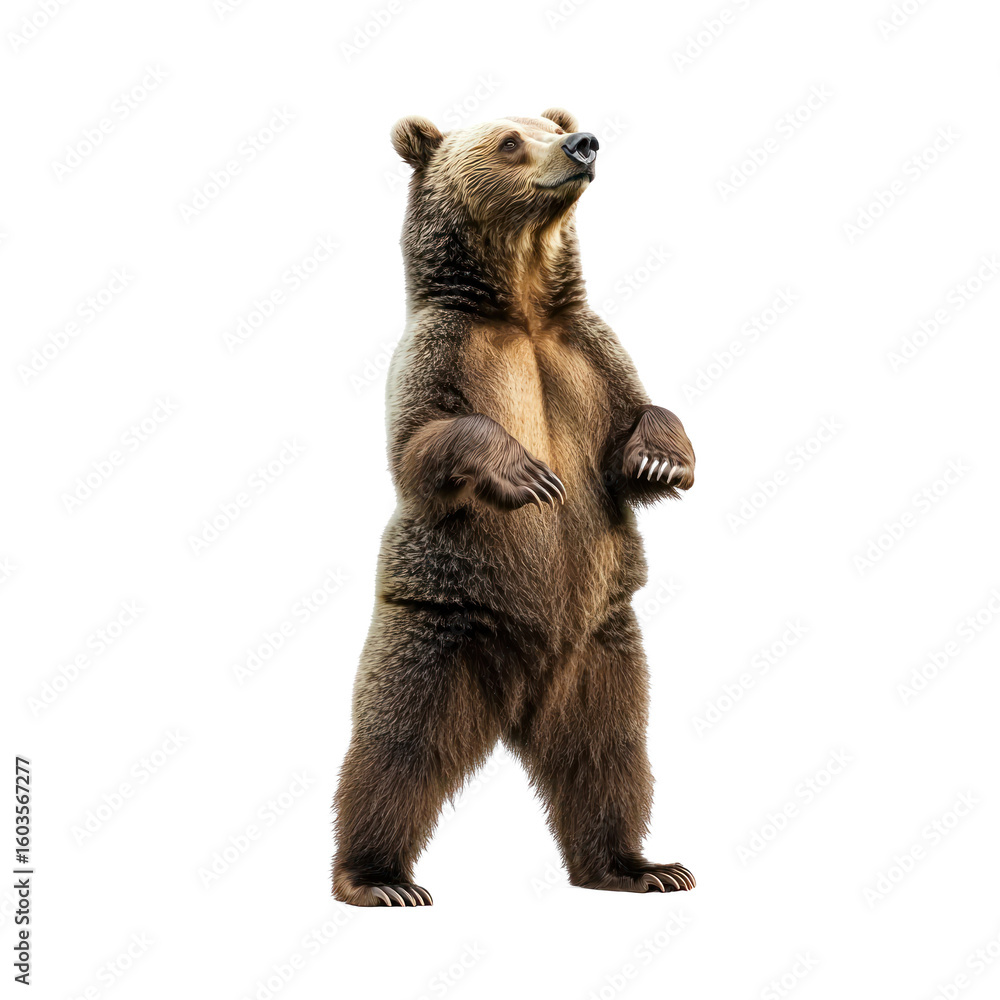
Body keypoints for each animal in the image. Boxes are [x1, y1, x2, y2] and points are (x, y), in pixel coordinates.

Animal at [332, 109, 696, 907]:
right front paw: (530, 475)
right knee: (396, 749)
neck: (523, 308)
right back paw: (378, 878)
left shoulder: (590, 351)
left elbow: (637, 421)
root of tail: (521, 698)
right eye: (507, 140)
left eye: (550, 122)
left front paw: (661, 457)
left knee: (610, 754)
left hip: (603, 651)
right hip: (437, 634)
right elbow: (422, 444)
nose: (583, 143)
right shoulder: (439, 352)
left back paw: (638, 866)